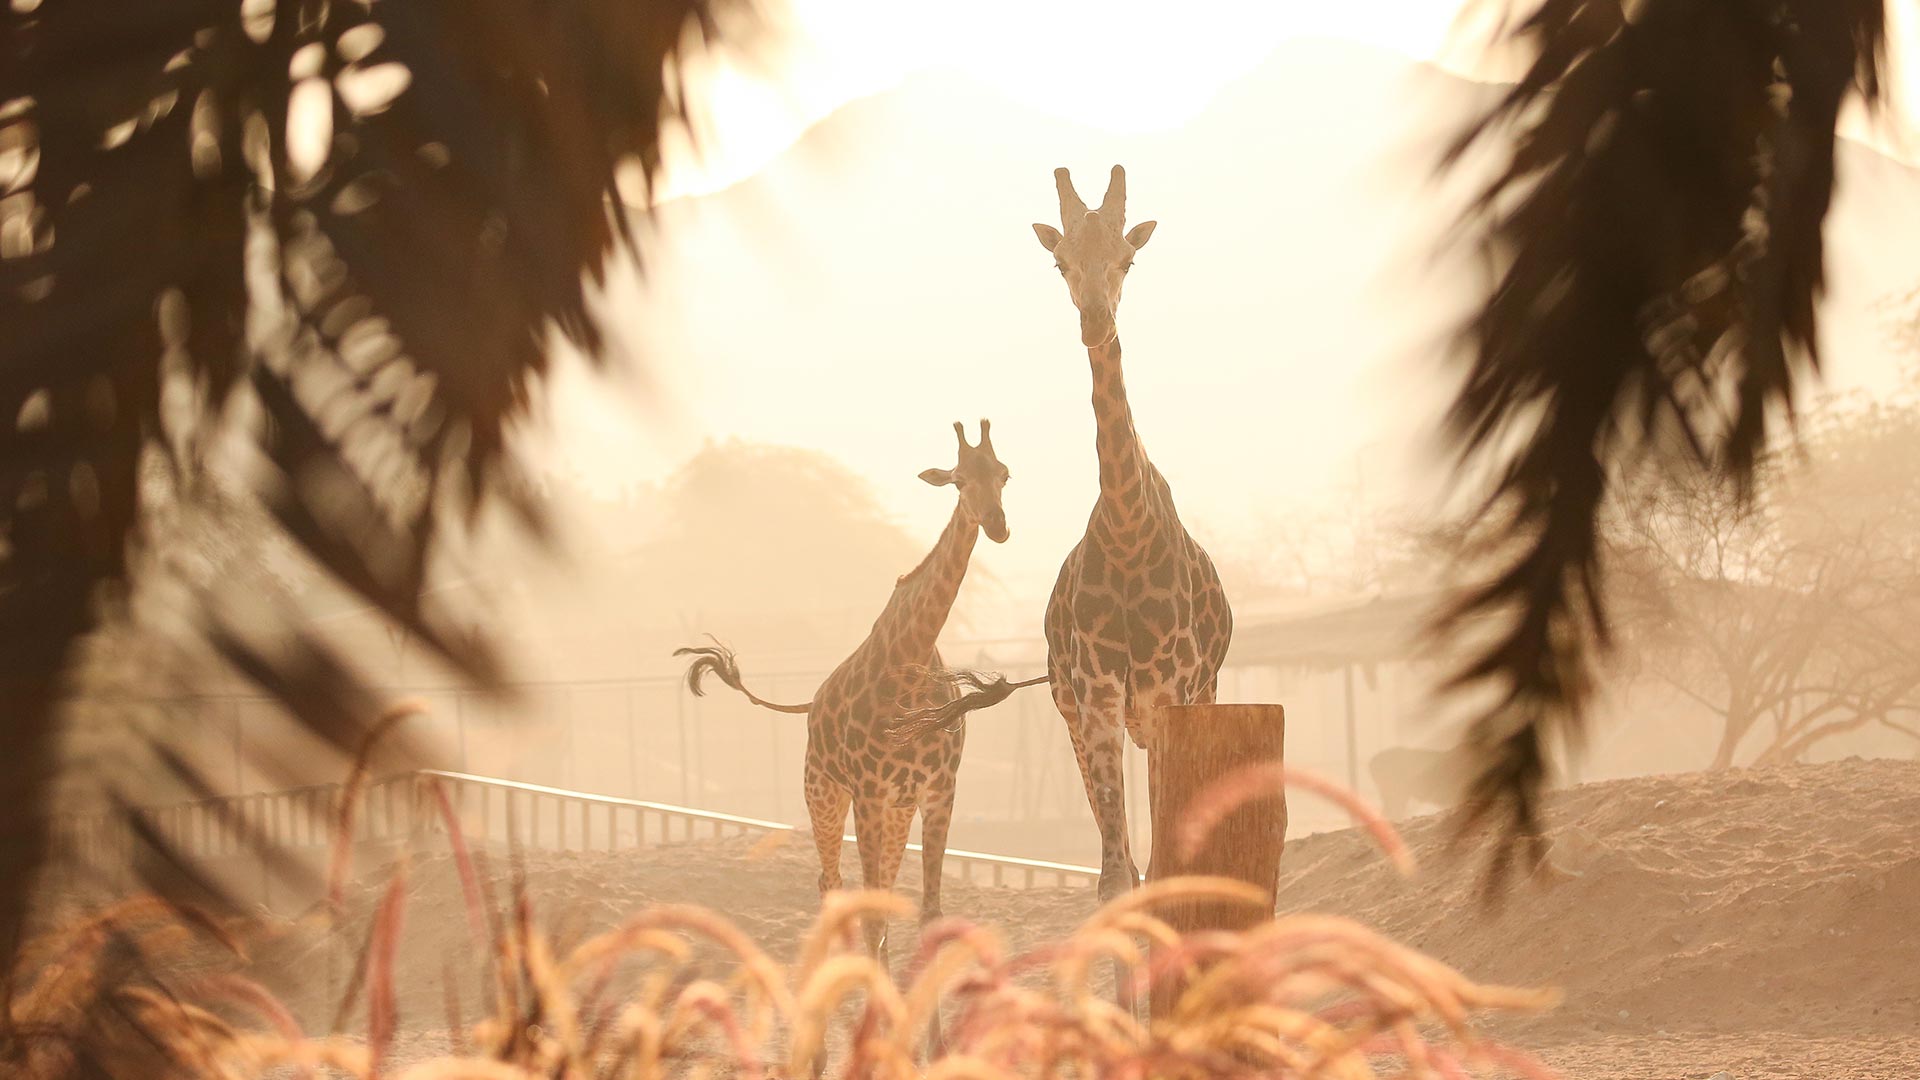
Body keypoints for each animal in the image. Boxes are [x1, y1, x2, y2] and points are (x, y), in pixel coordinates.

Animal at [675, 420, 1012, 960]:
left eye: (1003, 474)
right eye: (959, 480)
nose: (998, 525)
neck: (911, 660)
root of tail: (810, 706)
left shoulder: (938, 790)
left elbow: (928, 912)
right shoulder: (868, 792)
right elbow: (871, 914)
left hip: (895, 807)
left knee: (875, 896)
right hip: (824, 792)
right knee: (830, 884)